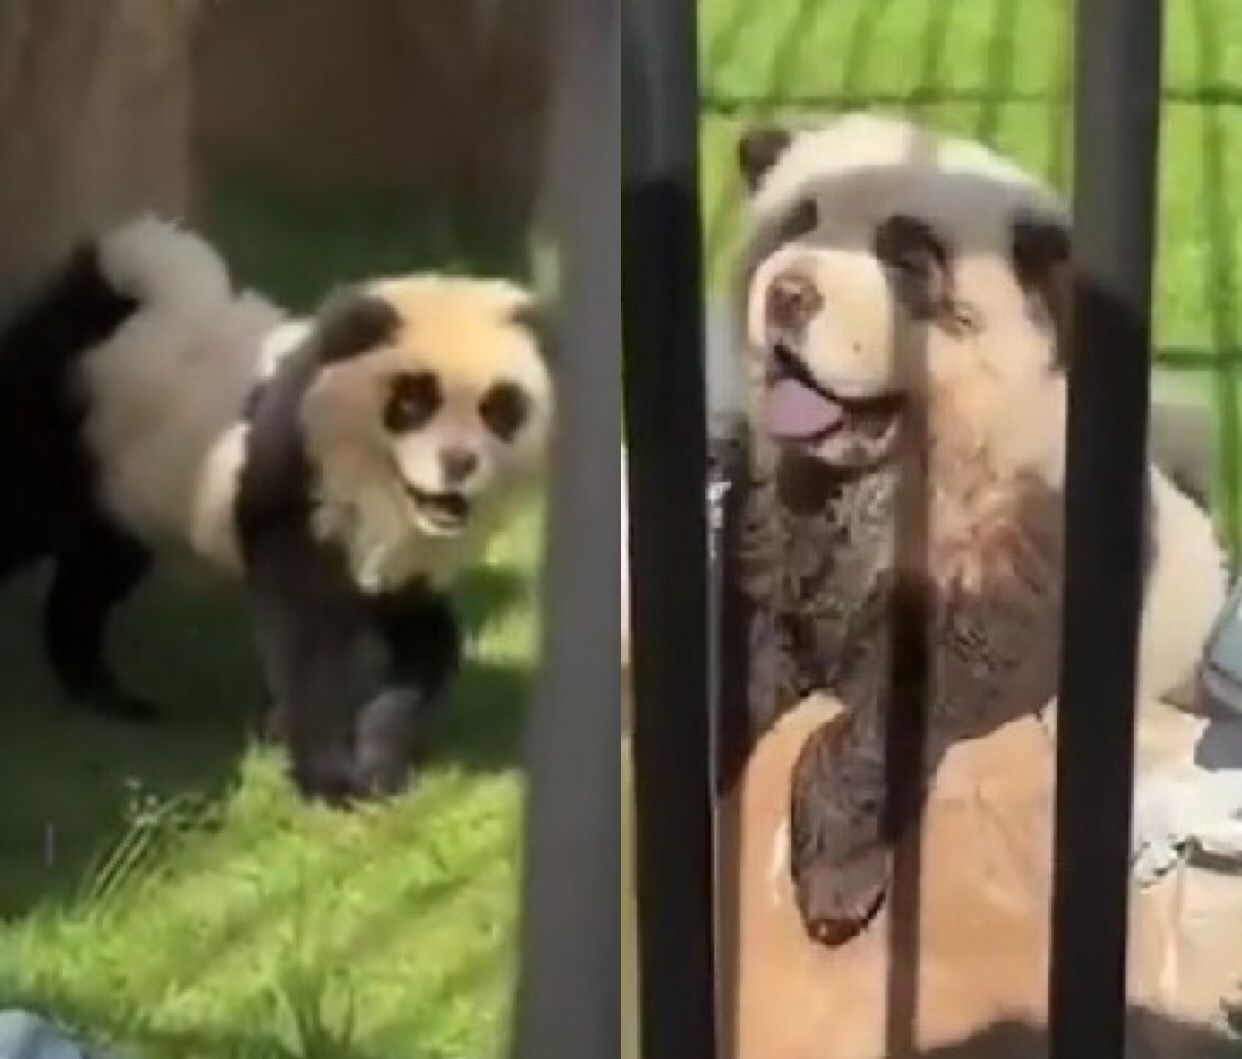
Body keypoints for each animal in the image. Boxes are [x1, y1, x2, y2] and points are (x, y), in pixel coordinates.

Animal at [0, 216, 554, 804]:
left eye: (499, 409)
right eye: (411, 403)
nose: (458, 463)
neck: (377, 494)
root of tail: (105, 290)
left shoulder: (406, 565)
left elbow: (427, 649)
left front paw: (380, 765)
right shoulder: (294, 488)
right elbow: (308, 645)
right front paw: (329, 782)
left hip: (130, 488)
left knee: (91, 581)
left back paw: (106, 696)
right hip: (60, 428)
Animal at [729, 113, 1229, 945]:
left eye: (906, 259)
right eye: (796, 223)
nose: (788, 293)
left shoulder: (1016, 574)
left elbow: (888, 715)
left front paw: (837, 879)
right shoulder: (789, 547)